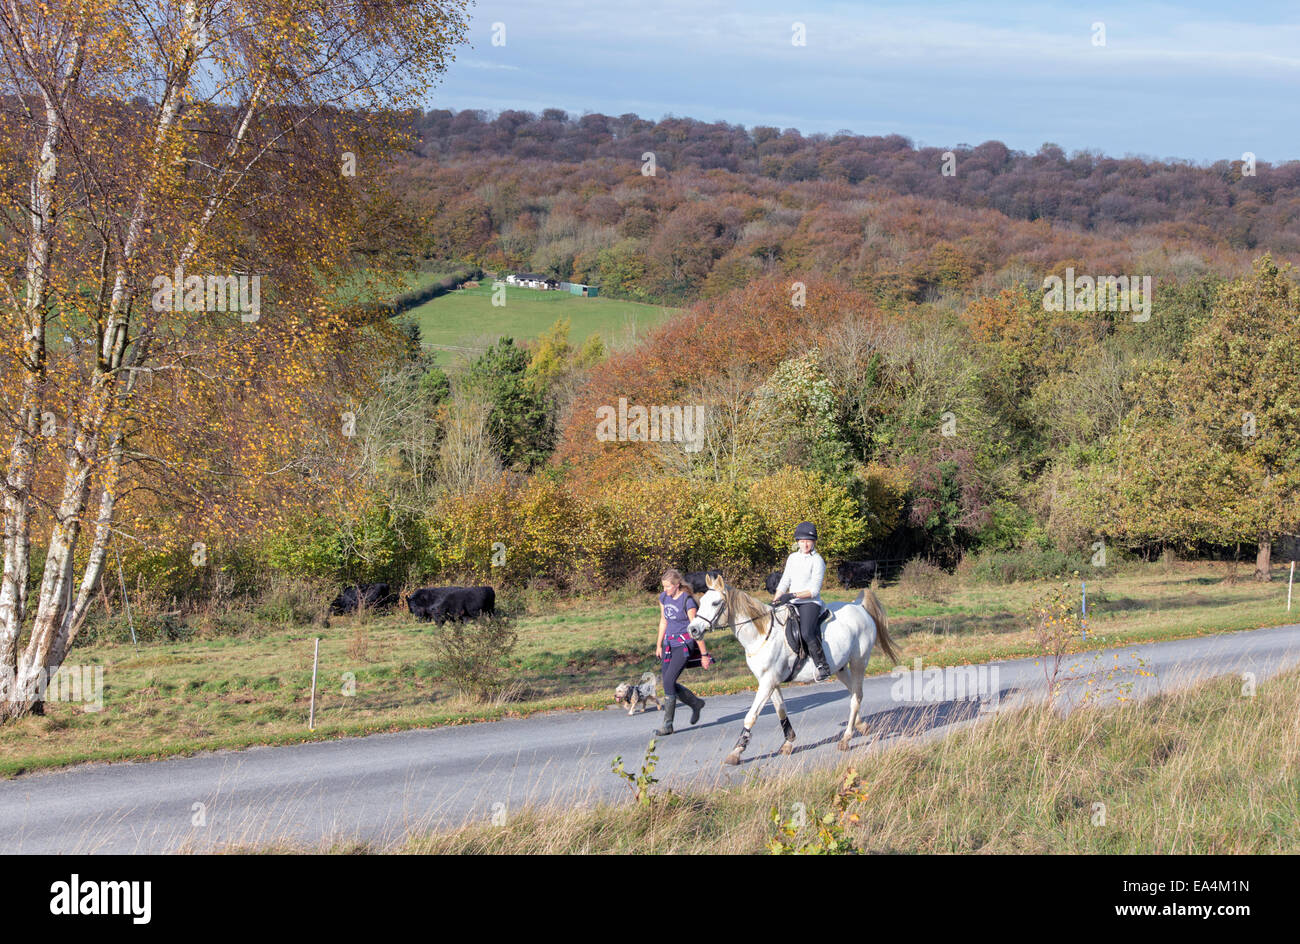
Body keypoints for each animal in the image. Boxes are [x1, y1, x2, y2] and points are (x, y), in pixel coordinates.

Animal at [691, 572, 894, 764]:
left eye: (715, 603)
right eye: (701, 602)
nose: (692, 629)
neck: (761, 635)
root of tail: (858, 607)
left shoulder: (768, 682)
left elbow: (751, 716)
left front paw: (736, 751)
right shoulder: (770, 681)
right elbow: (781, 710)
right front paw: (789, 741)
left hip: (859, 661)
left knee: (856, 696)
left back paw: (846, 739)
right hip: (841, 667)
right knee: (854, 693)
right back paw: (861, 725)